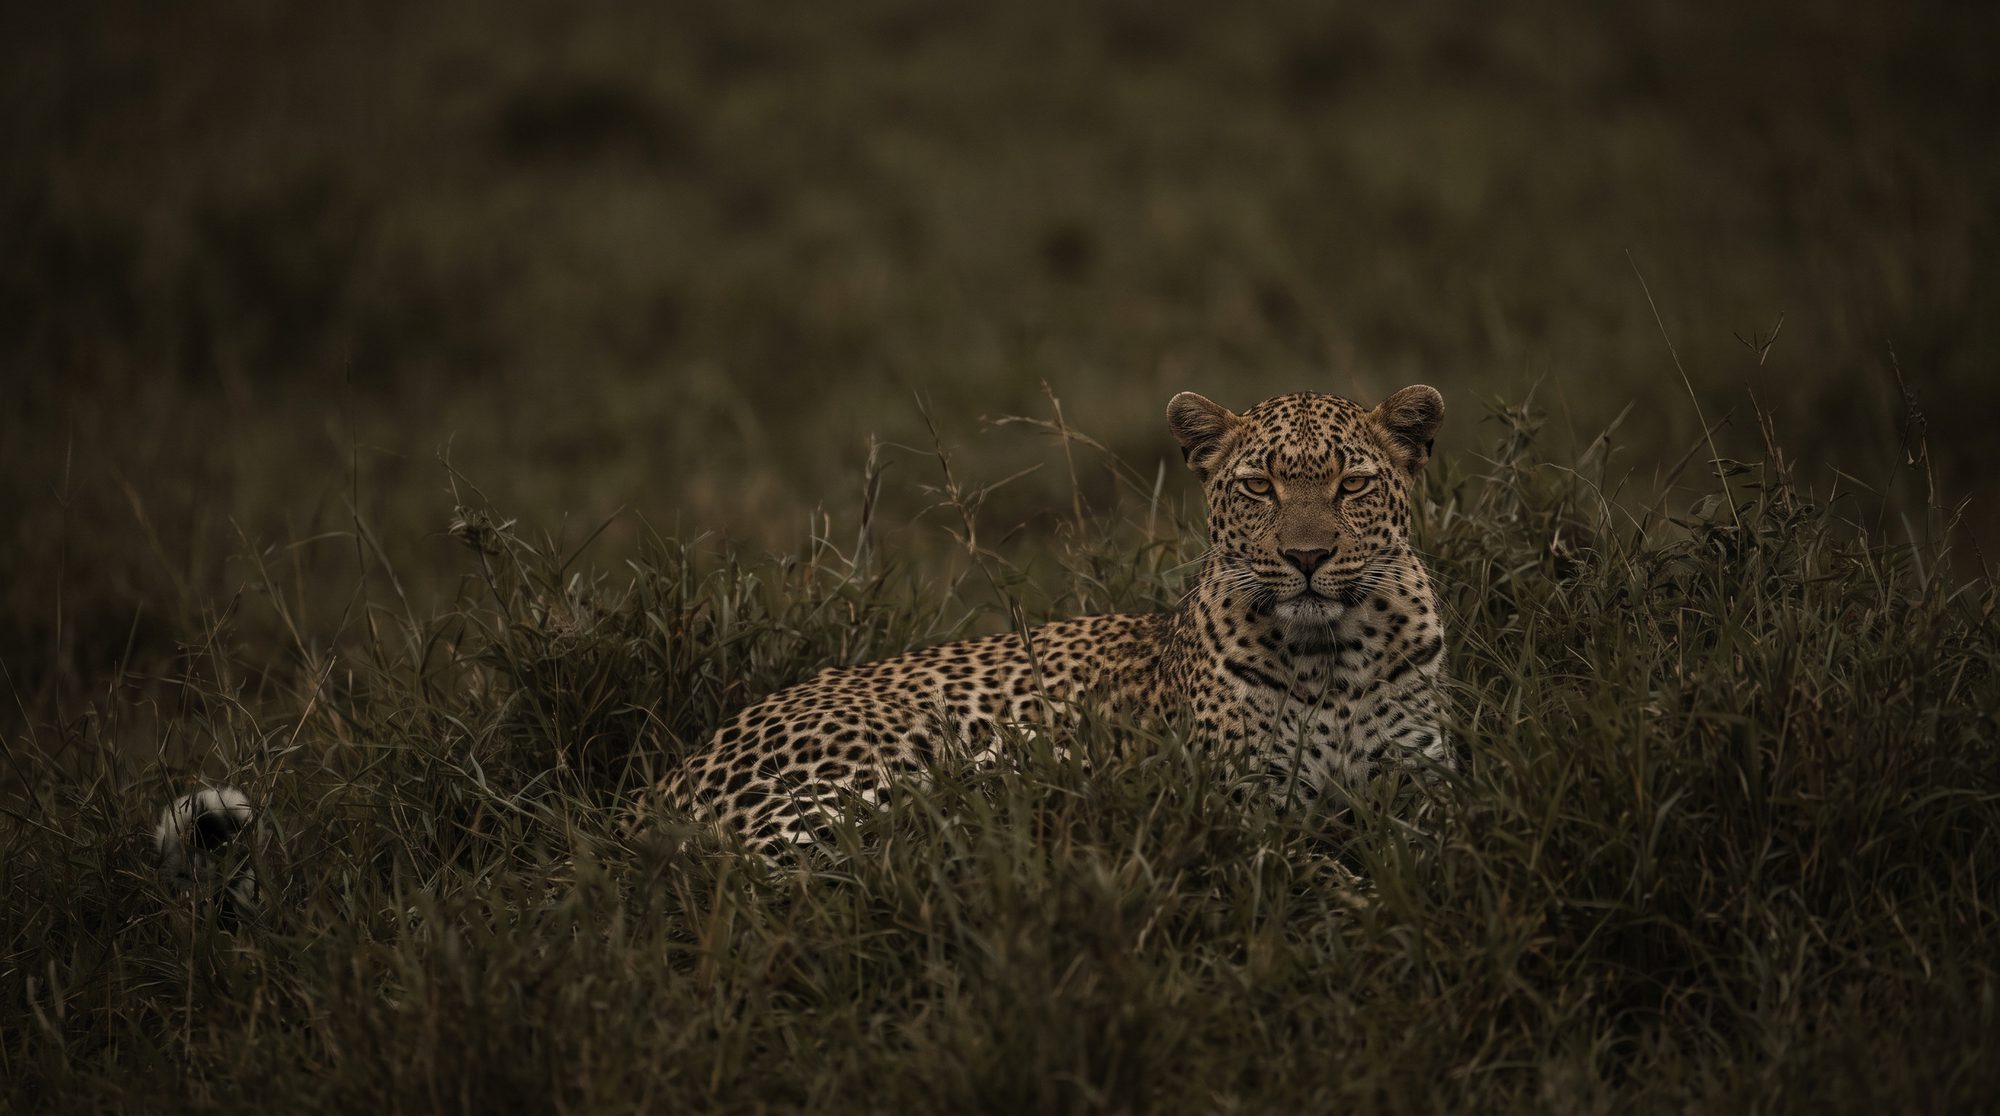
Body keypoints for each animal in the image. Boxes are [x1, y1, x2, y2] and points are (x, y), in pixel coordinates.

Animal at [640, 385, 1453, 853]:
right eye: (1259, 487)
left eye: (1352, 485)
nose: (1308, 556)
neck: (1331, 656)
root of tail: (665, 784)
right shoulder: (1250, 804)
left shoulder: (1423, 786)